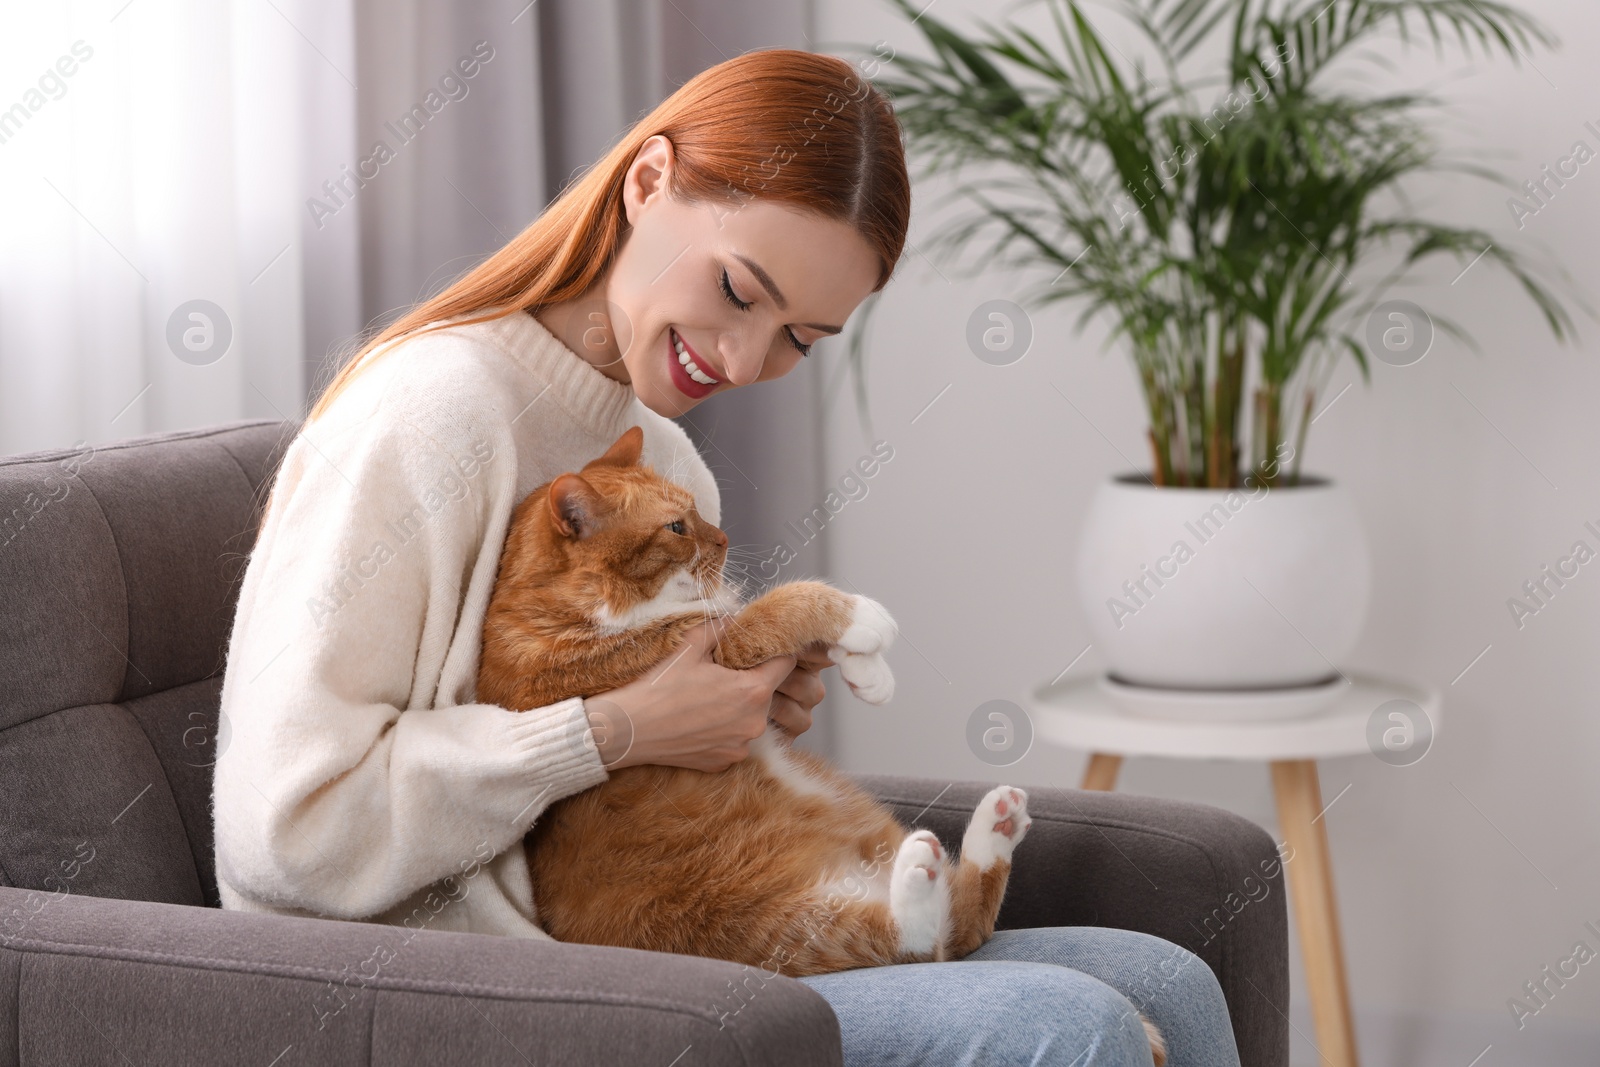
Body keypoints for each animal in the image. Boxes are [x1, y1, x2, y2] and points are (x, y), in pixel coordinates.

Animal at [473, 431, 1164, 1062]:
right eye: (676, 526)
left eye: (695, 511)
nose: (723, 541)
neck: (554, 607)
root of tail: (863, 879)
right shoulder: (698, 655)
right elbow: (782, 604)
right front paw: (862, 619)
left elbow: (803, 644)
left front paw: (868, 671)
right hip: (764, 926)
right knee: (918, 942)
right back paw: (926, 876)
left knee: (961, 925)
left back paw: (992, 827)